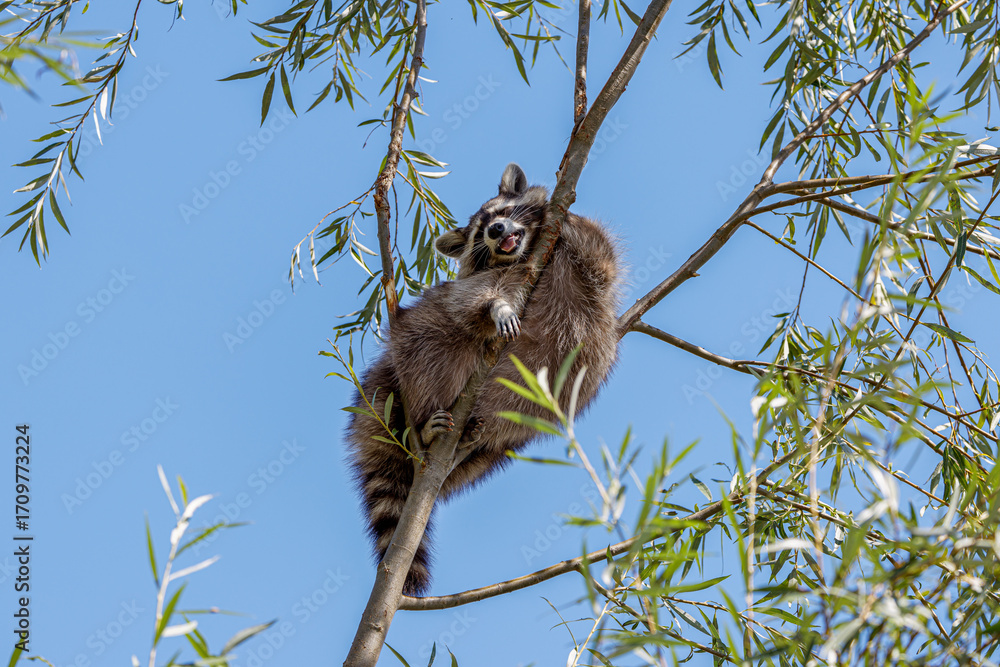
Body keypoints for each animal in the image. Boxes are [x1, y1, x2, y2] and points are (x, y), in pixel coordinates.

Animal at [346, 163, 621, 595]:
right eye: (479, 233)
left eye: (500, 212)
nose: (495, 230)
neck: (530, 253)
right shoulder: (492, 280)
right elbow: (471, 298)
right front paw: (498, 306)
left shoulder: (588, 273)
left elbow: (600, 256)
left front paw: (565, 215)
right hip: (408, 363)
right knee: (430, 337)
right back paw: (421, 428)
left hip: (503, 442)